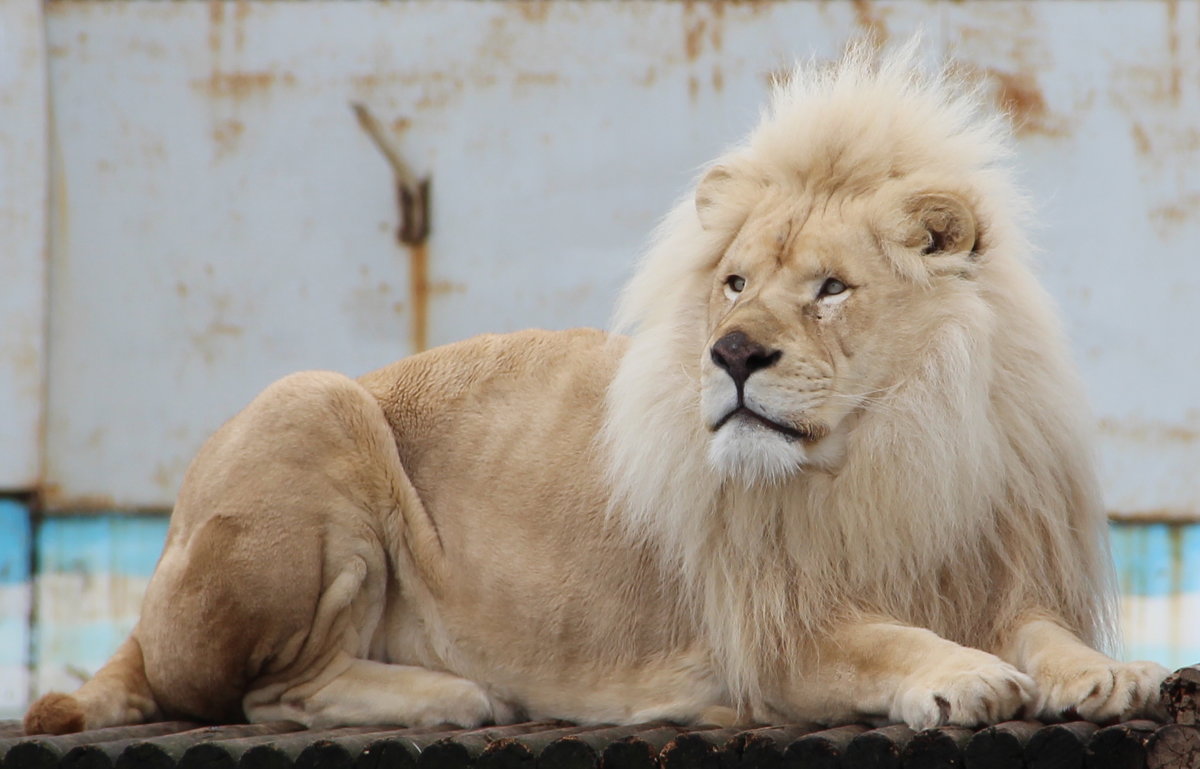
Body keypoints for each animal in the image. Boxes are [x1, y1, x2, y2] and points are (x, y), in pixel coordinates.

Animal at [25, 40, 1161, 729]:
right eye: (734, 284)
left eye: (830, 288)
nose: (733, 353)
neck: (895, 448)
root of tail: (142, 611)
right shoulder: (774, 634)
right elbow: (887, 639)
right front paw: (963, 676)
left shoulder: (986, 564)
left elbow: (1041, 628)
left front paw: (1106, 672)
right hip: (315, 399)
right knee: (263, 693)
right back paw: (451, 695)